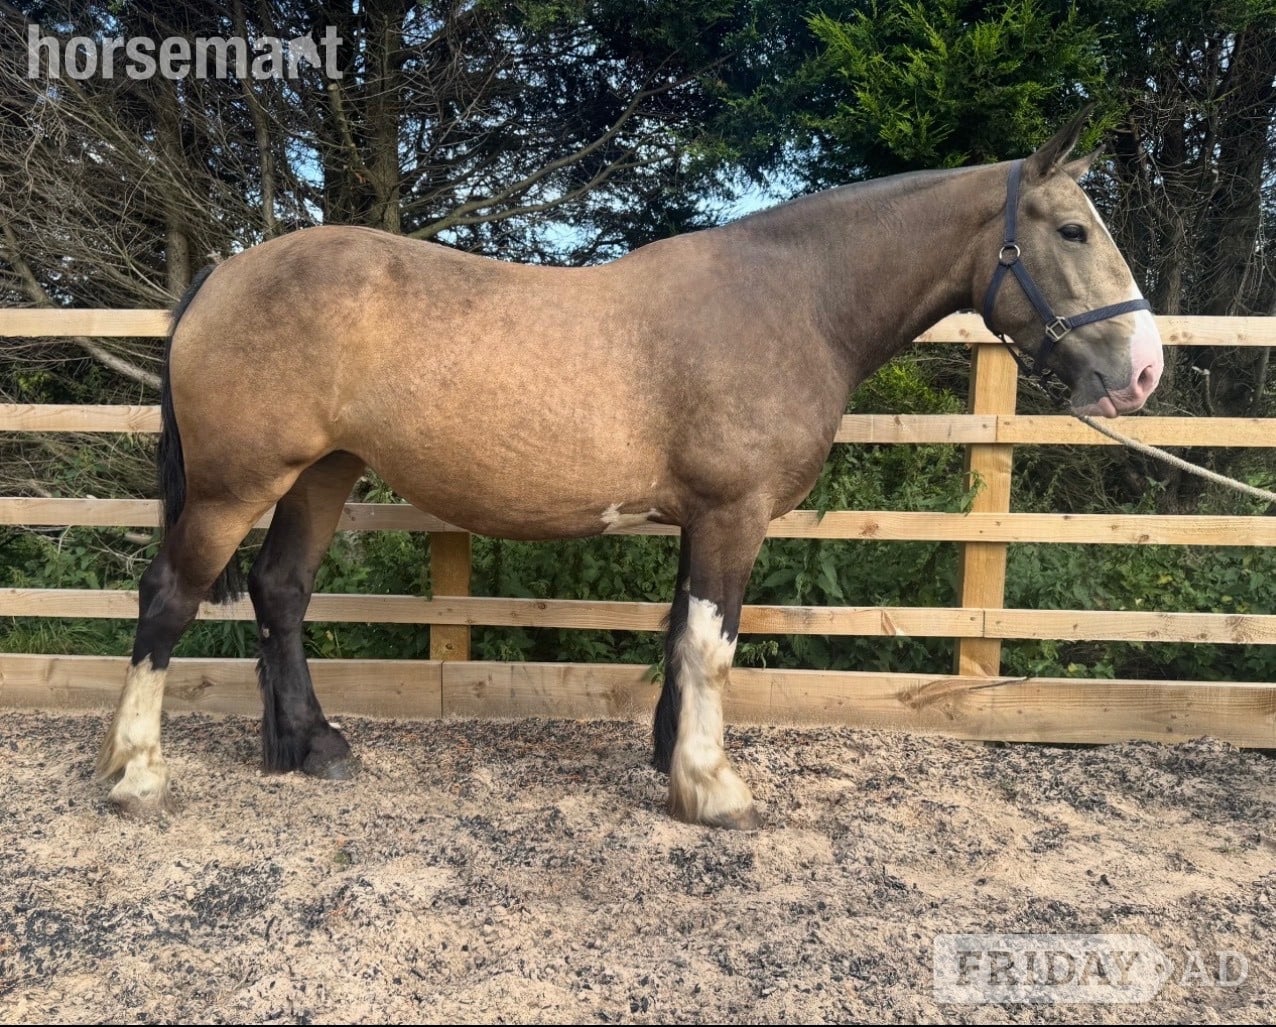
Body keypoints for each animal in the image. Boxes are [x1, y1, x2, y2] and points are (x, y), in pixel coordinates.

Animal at [96, 112, 1163, 827]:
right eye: (1073, 230)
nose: (1144, 369)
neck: (791, 300)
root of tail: (223, 276)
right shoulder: (734, 512)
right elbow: (713, 645)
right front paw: (714, 788)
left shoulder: (703, 517)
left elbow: (681, 636)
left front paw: (673, 760)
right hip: (236, 486)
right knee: (167, 599)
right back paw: (137, 773)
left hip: (325, 470)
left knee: (280, 590)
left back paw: (310, 748)